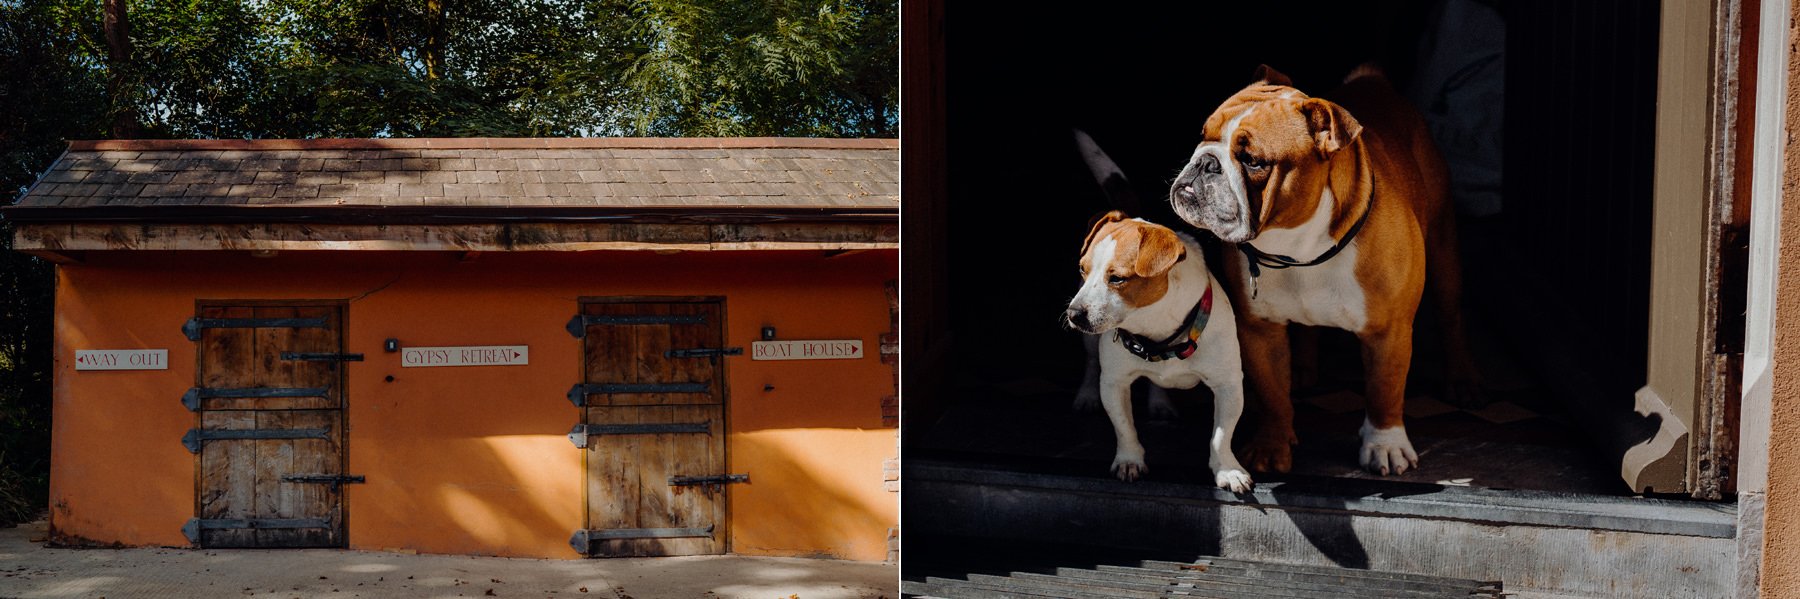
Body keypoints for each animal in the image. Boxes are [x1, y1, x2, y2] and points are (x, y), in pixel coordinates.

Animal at [1051, 209, 1252, 489]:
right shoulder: (1114, 383)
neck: (1155, 328)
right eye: (1082, 269)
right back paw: (1087, 395)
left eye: (1117, 278)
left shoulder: (1228, 385)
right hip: (1090, 342)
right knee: (1092, 363)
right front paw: (1129, 460)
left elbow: (1222, 434)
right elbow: (1124, 426)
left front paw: (1227, 470)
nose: (1073, 314)